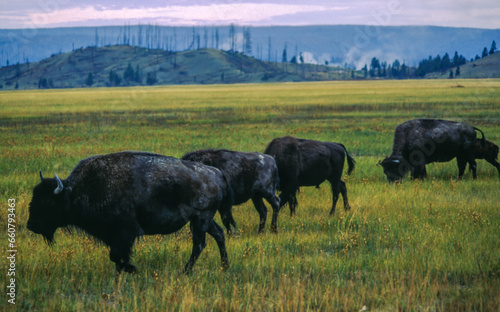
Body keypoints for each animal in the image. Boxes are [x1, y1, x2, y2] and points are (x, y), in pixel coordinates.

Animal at [29, 151, 234, 272]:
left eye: (47, 203)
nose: (31, 225)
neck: (77, 190)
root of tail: (216, 172)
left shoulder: (126, 231)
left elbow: (116, 255)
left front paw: (132, 269)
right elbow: (117, 257)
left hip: (200, 219)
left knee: (199, 244)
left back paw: (186, 271)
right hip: (203, 219)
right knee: (219, 234)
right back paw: (224, 266)